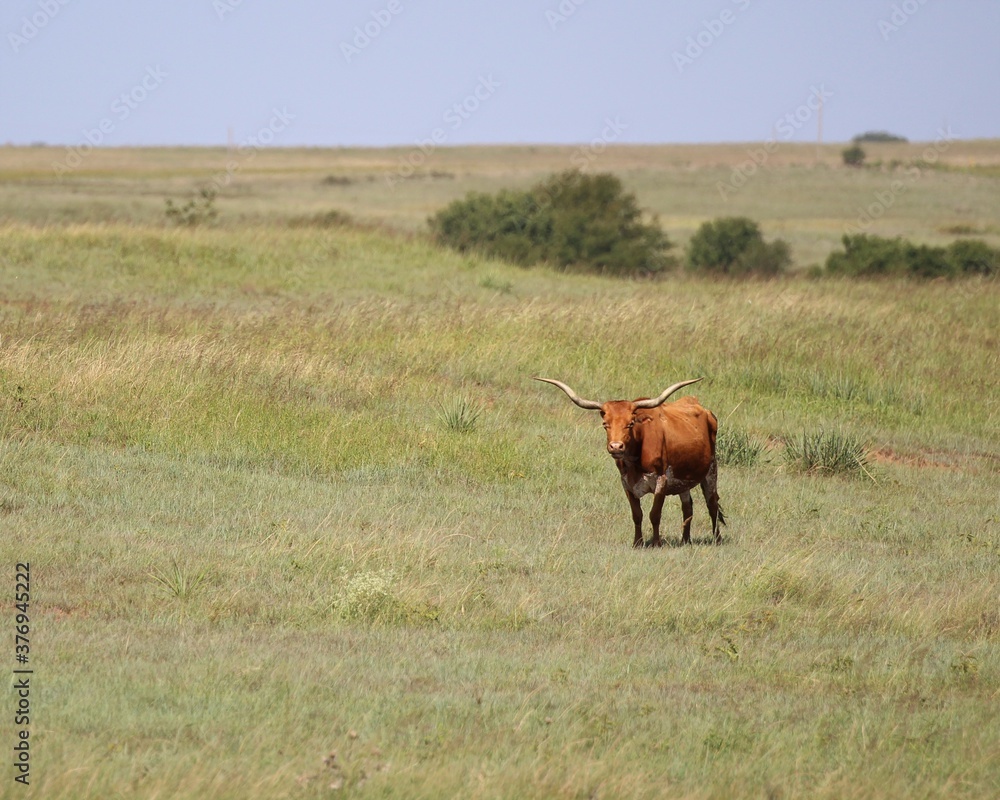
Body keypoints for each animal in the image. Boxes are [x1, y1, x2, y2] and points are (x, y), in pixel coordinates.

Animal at [535, 377, 725, 547]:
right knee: (688, 507)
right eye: (605, 424)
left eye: (630, 423)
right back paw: (685, 540)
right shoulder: (626, 483)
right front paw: (637, 543)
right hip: (683, 478)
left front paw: (656, 543)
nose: (616, 446)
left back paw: (717, 539)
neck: (635, 461)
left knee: (712, 504)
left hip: (711, 470)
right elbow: (637, 514)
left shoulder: (661, 480)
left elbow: (654, 514)